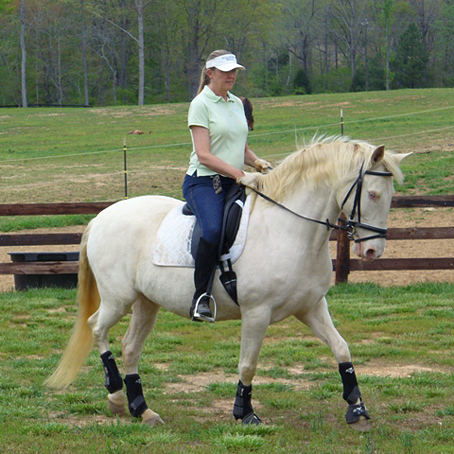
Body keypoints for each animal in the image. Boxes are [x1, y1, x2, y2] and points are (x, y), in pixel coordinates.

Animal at [47, 137, 412, 430]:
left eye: (391, 195)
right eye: (373, 194)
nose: (372, 251)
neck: (291, 229)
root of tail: (101, 217)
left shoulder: (311, 307)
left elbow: (341, 348)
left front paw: (357, 409)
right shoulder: (257, 313)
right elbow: (248, 365)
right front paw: (245, 413)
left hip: (146, 302)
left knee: (130, 346)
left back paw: (142, 410)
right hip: (118, 298)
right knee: (97, 328)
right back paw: (116, 397)